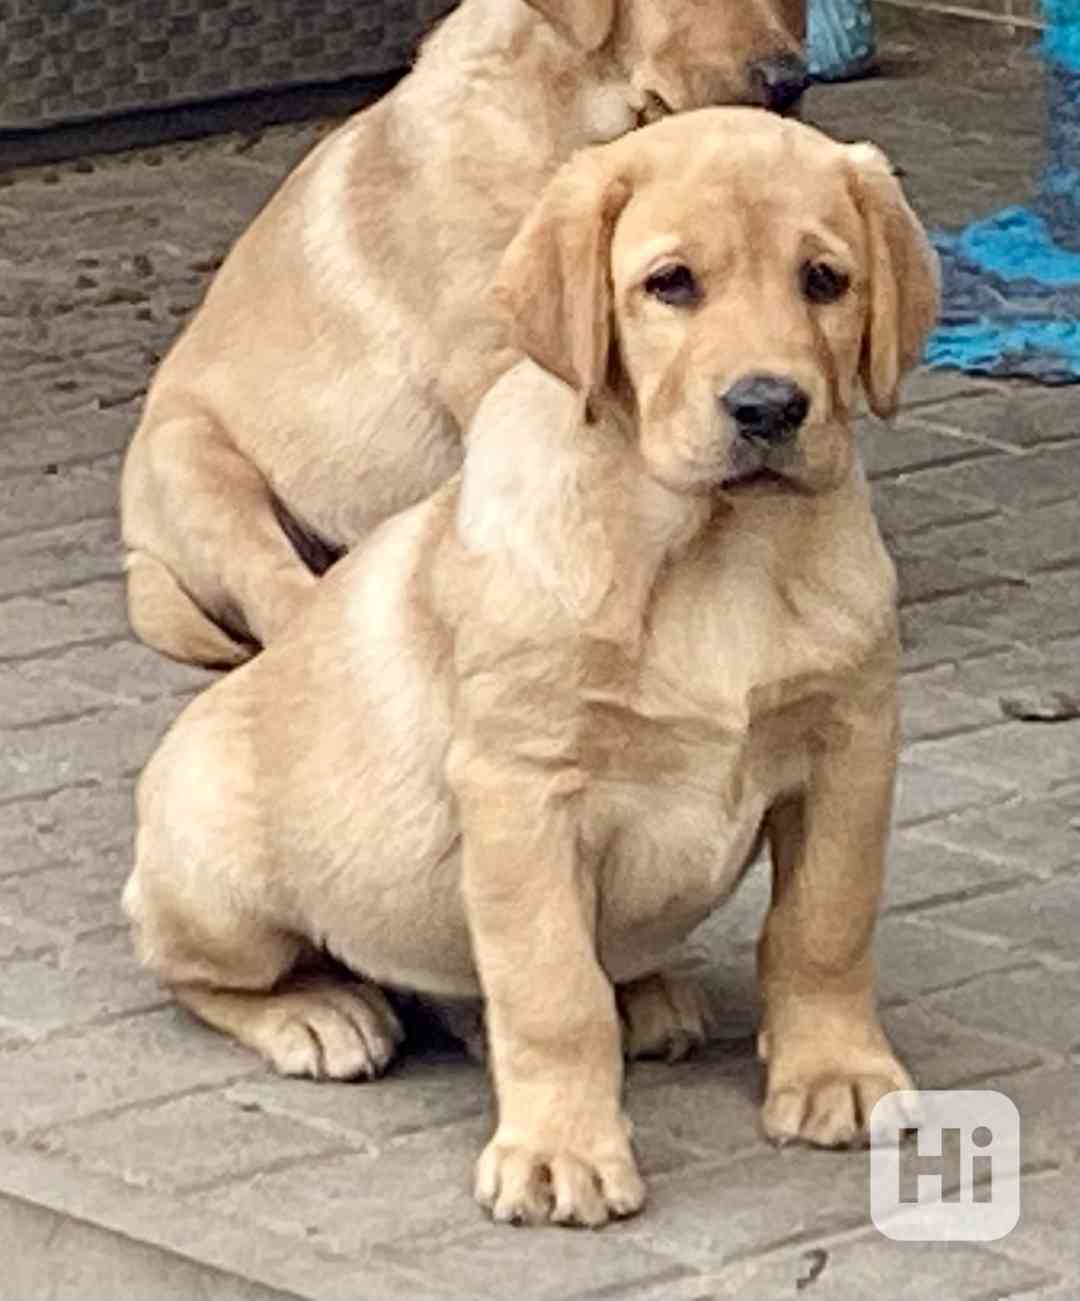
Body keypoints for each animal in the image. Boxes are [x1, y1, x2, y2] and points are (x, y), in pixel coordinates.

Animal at [124, 109, 936, 1228]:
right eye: (671, 284)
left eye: (825, 279)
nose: (769, 404)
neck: (714, 549)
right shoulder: (523, 787)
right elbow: (552, 991)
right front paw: (561, 1151)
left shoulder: (850, 743)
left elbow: (825, 922)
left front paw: (835, 1071)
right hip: (216, 874)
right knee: (195, 970)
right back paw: (320, 1011)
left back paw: (639, 995)